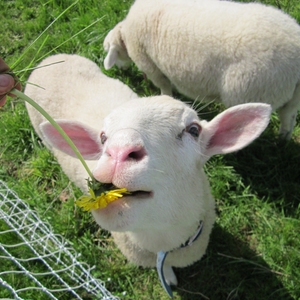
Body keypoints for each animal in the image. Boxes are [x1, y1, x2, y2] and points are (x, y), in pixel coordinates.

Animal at [24, 53, 270, 296]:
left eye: (193, 130)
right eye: (103, 137)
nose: (118, 151)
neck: (165, 239)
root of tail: (49, 60)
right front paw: (169, 277)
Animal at [103, 0, 300, 139]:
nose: (120, 71)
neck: (126, 35)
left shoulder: (150, 65)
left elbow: (164, 86)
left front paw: (164, 98)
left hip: (252, 89)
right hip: (291, 95)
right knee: (288, 117)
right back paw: (283, 140)